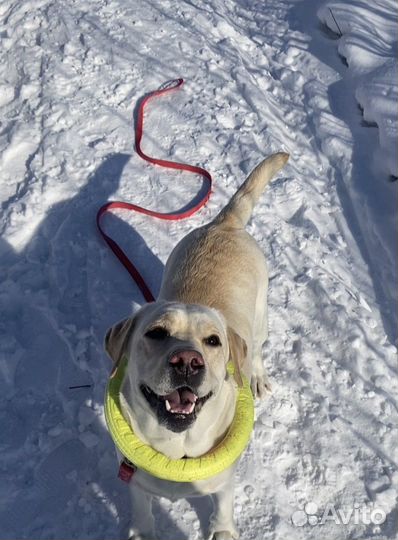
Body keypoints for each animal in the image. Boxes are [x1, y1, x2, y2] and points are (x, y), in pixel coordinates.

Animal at [105, 153, 290, 540]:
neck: (176, 451)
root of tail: (224, 224)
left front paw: (222, 530)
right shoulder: (135, 483)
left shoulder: (223, 485)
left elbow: (222, 513)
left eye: (213, 341)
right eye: (156, 333)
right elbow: (142, 512)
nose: (188, 361)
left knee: (258, 349)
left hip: (261, 314)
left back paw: (258, 377)